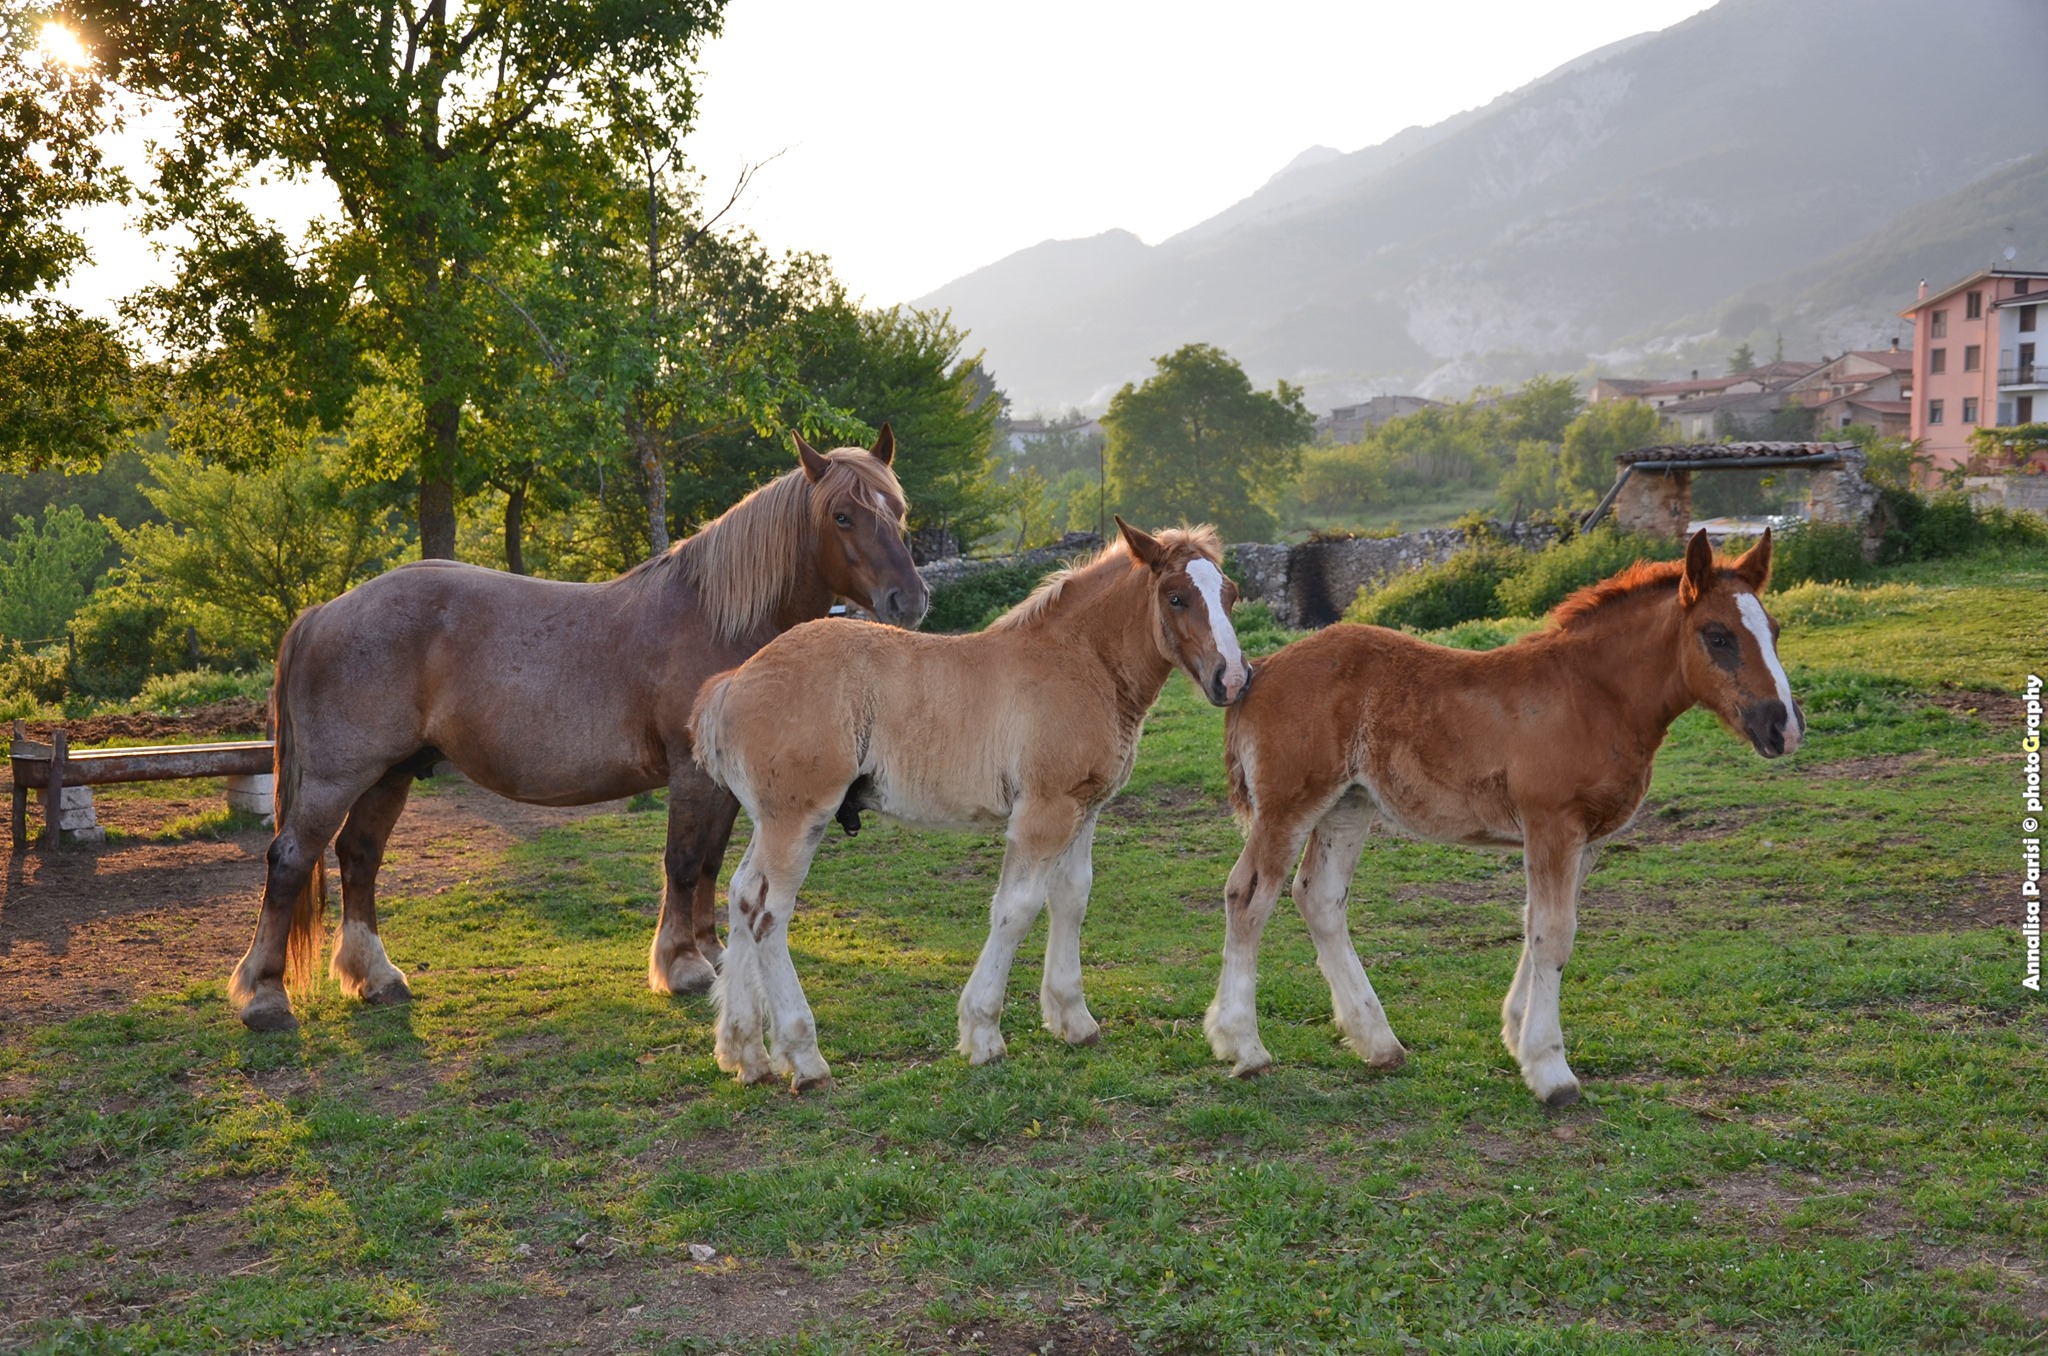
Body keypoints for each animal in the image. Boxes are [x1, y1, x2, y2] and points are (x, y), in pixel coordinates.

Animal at [228, 430, 925, 1036]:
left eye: (898, 509)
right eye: (842, 515)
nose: (909, 600)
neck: (715, 619)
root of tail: (326, 611)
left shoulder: (723, 783)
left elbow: (708, 864)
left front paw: (711, 952)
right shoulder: (691, 776)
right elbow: (682, 862)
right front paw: (682, 966)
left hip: (390, 774)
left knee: (359, 859)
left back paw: (376, 978)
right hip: (337, 777)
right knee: (291, 859)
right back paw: (266, 998)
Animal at [688, 518, 1245, 1097]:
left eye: (1231, 595)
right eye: (1176, 597)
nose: (1232, 679)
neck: (1078, 662)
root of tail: (732, 683)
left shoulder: (1084, 807)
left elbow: (1071, 898)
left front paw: (1074, 1020)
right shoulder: (1043, 811)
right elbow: (1017, 908)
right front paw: (983, 1034)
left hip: (770, 820)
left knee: (741, 896)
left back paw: (744, 1052)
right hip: (799, 818)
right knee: (768, 914)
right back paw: (805, 1057)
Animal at [1204, 524, 1802, 1114]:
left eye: (1773, 629)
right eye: (1717, 636)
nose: (1784, 727)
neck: (1592, 696)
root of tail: (1258, 672)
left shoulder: (1586, 838)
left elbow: (1539, 925)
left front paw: (1517, 1034)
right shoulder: (1553, 825)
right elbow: (1554, 934)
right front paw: (1551, 1070)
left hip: (1348, 805)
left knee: (1320, 898)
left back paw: (1379, 1044)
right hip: (1288, 807)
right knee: (1247, 896)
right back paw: (1245, 1048)